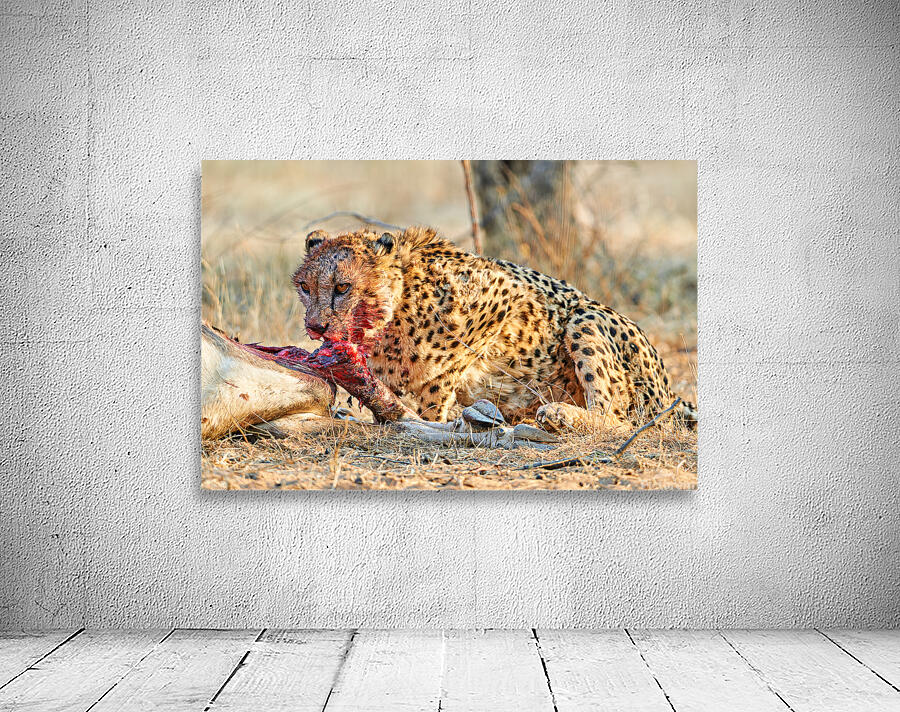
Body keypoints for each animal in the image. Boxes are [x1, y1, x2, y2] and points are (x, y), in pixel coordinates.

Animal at [291, 226, 697, 432]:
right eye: (305, 287)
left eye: (343, 287)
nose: (315, 326)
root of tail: (668, 391)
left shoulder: (508, 294)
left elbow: (443, 373)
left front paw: (434, 416)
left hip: (586, 318)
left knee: (620, 418)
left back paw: (558, 415)